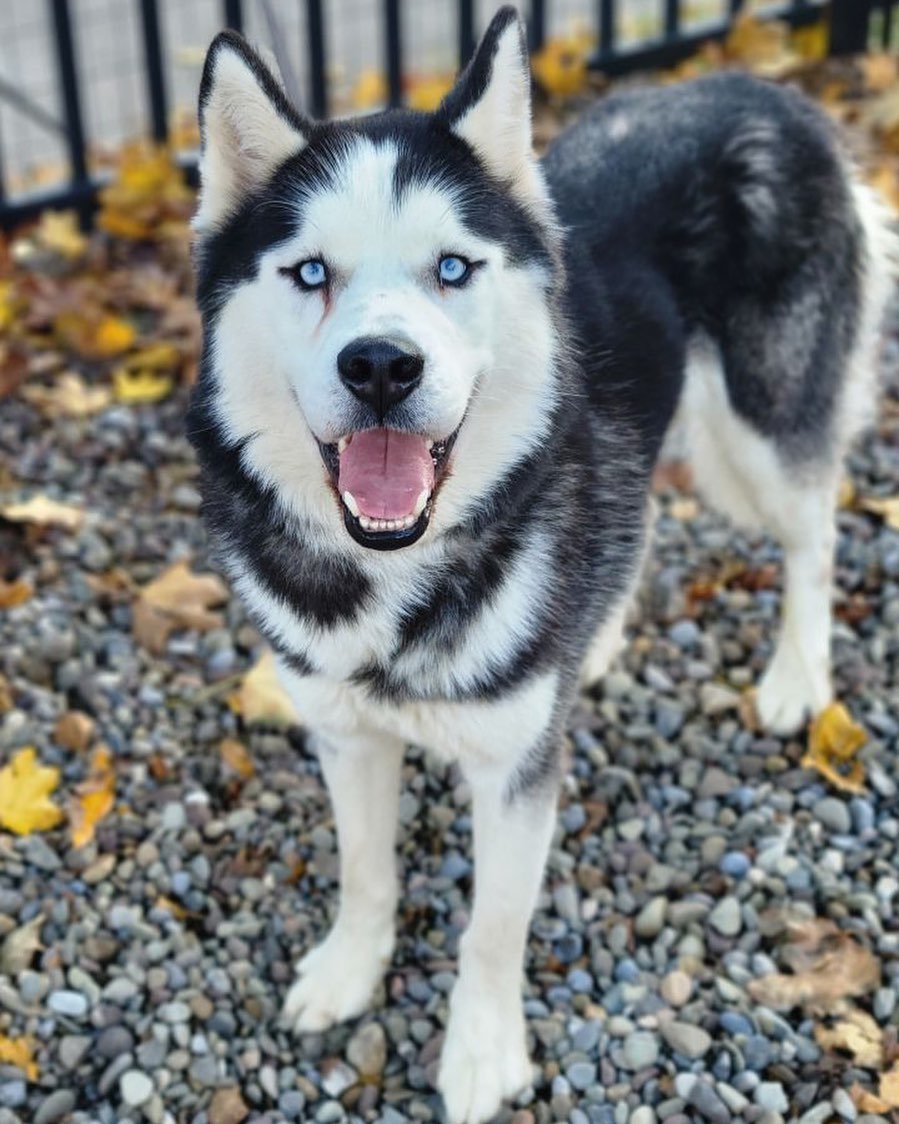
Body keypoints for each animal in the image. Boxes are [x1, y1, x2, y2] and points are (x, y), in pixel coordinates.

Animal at [187, 10, 890, 1124]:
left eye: (451, 269)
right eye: (309, 272)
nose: (380, 365)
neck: (402, 580)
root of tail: (766, 86)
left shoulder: (518, 773)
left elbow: (491, 926)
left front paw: (480, 1053)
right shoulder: (344, 730)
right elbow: (364, 869)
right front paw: (349, 969)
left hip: (760, 426)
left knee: (812, 536)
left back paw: (795, 676)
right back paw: (590, 643)